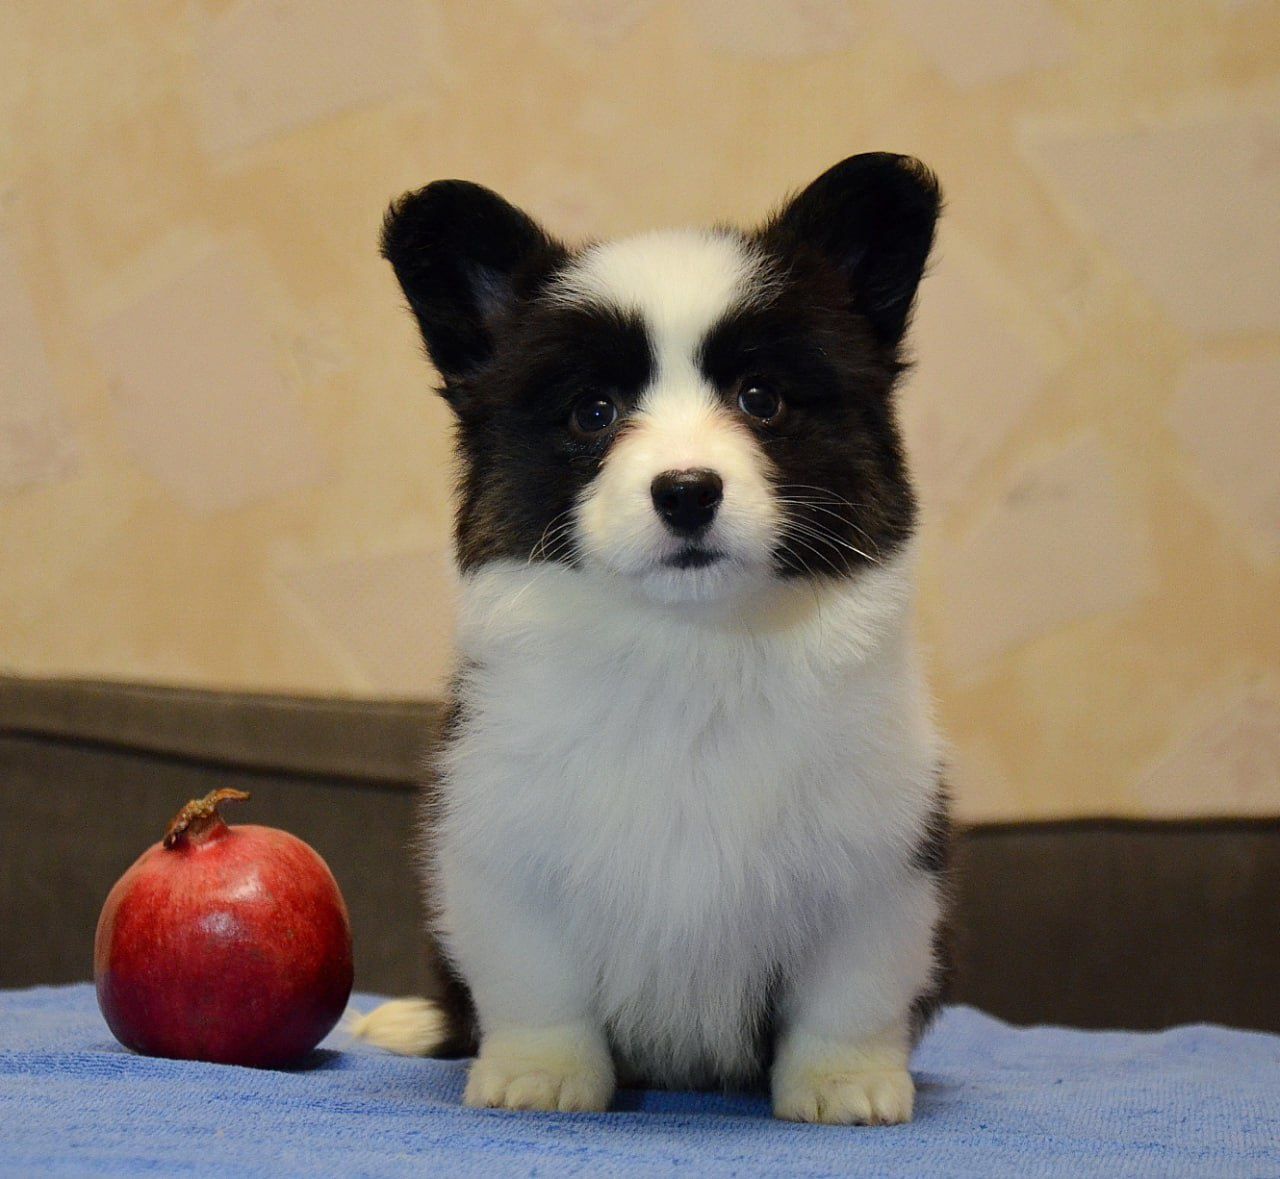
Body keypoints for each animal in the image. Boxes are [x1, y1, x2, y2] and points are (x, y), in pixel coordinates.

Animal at [353, 154, 952, 1121]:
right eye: (592, 412)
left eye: (761, 398)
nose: (686, 491)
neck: (690, 643)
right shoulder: (504, 846)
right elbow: (536, 981)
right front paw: (541, 1076)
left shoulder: (878, 863)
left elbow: (850, 991)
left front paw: (845, 1085)